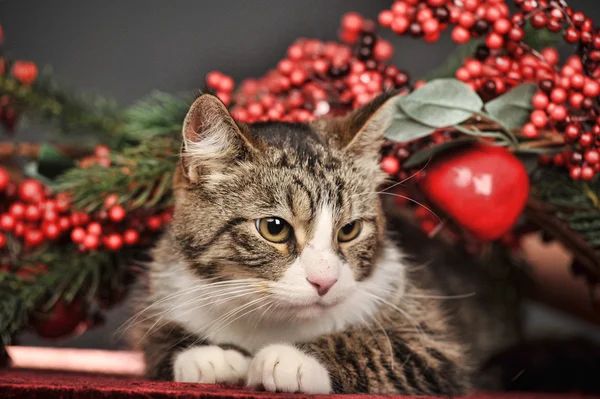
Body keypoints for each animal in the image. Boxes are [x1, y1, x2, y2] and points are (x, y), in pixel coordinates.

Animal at [125, 92, 520, 396]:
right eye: (274, 228)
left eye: (349, 230)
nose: (324, 281)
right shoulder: (163, 287)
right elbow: (154, 337)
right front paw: (210, 353)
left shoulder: (432, 342)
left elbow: (384, 347)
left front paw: (293, 359)